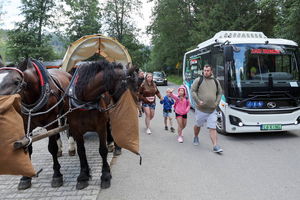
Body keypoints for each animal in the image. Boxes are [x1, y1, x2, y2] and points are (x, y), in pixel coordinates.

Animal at [0, 57, 71, 189]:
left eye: (16, 82)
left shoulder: (50, 121)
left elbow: (52, 147)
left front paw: (57, 174)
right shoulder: (25, 124)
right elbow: (28, 148)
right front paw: (25, 177)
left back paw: (72, 147)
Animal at [66, 59, 137, 189]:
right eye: (131, 85)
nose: (137, 106)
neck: (85, 100)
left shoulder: (100, 127)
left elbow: (102, 150)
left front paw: (105, 175)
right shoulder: (76, 129)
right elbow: (81, 151)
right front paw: (83, 176)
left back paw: (115, 147)